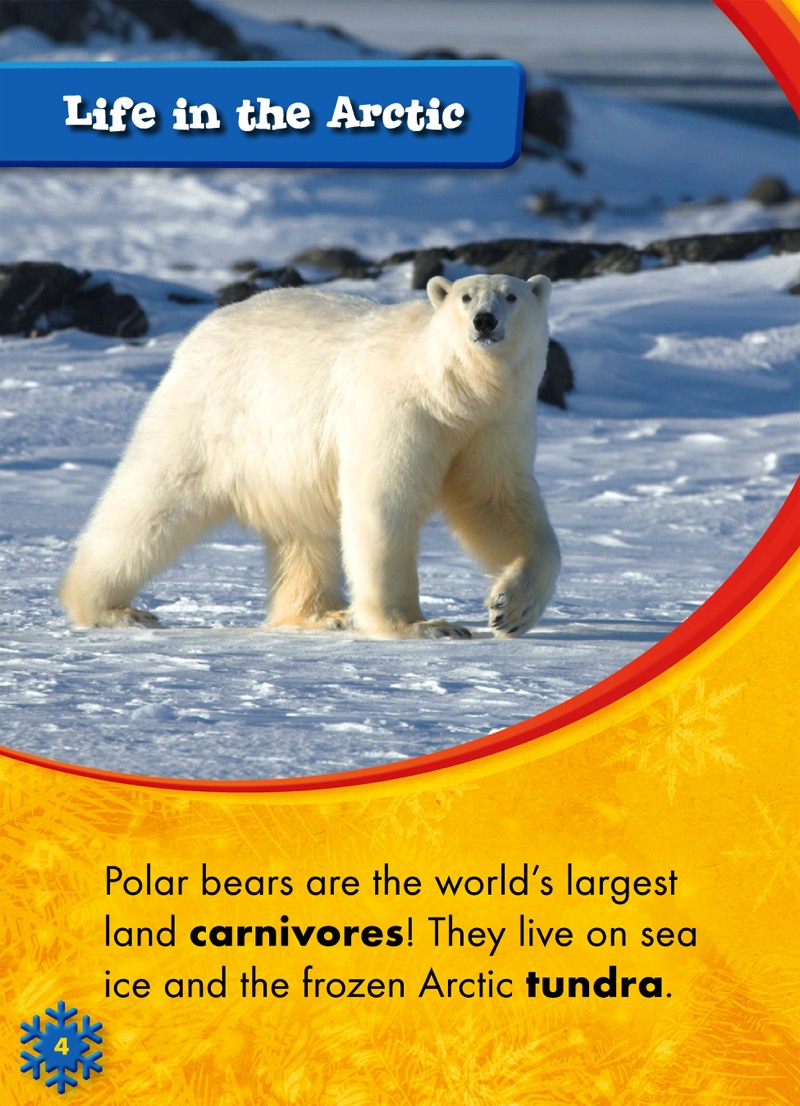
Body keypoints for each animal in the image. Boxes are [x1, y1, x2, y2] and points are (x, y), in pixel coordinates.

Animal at [59, 272, 560, 640]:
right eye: (465, 296)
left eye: (512, 295)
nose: (484, 321)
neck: (448, 392)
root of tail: (202, 331)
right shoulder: (397, 411)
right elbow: (384, 502)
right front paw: (425, 625)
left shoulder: (492, 425)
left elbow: (495, 503)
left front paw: (509, 609)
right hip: (211, 415)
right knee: (152, 502)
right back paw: (112, 609)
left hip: (286, 463)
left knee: (304, 534)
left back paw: (322, 614)